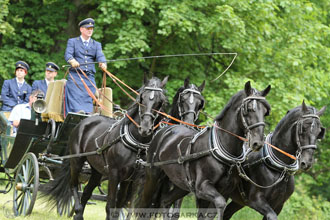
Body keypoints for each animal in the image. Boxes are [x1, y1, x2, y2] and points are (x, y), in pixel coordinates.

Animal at [41, 75, 169, 219]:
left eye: (160, 101)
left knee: (87, 191)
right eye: (142, 98)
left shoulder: (133, 179)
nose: (145, 128)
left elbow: (121, 204)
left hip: (97, 170)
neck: (137, 143)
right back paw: (77, 211)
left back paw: (79, 213)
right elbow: (110, 205)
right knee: (73, 185)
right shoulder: (114, 174)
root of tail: (83, 122)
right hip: (76, 161)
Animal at [137, 81, 270, 219]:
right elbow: (220, 204)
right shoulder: (203, 187)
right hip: (152, 176)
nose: (257, 142)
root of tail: (164, 131)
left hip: (181, 185)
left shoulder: (224, 191)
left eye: (265, 112)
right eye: (249, 109)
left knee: (165, 201)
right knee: (144, 205)